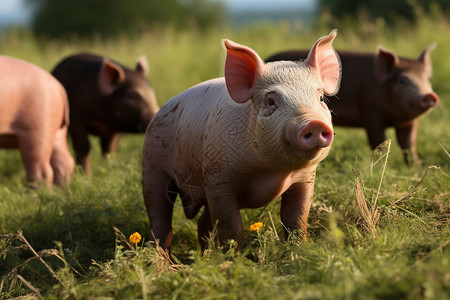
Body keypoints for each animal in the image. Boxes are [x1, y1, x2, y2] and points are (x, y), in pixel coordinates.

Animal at [0, 55, 74, 188]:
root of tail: (59, 86)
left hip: (38, 129)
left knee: (41, 170)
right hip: (57, 131)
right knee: (65, 163)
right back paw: (63, 191)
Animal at [142, 30, 342, 251]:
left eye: (321, 98)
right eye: (271, 101)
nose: (313, 123)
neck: (272, 170)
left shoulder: (305, 178)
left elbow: (296, 222)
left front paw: (297, 252)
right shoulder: (217, 178)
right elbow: (232, 228)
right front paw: (233, 256)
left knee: (203, 224)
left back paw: (207, 255)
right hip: (152, 164)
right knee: (160, 220)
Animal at [266, 44, 438, 164]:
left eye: (427, 80)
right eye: (402, 80)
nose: (429, 95)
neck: (396, 117)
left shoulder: (408, 122)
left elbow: (409, 144)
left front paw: (415, 166)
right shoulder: (370, 112)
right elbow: (379, 142)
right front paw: (381, 164)